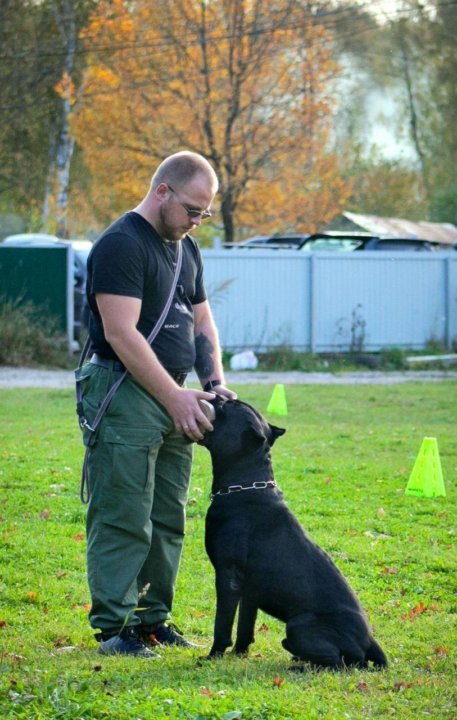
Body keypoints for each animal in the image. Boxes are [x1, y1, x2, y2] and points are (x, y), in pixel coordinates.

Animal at [198, 394, 386, 668]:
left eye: (231, 405)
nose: (218, 394)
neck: (245, 486)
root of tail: (369, 642)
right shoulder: (249, 590)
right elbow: (245, 626)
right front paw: (239, 654)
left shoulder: (228, 577)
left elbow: (222, 624)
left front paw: (213, 656)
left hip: (298, 625)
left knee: (340, 664)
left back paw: (298, 665)